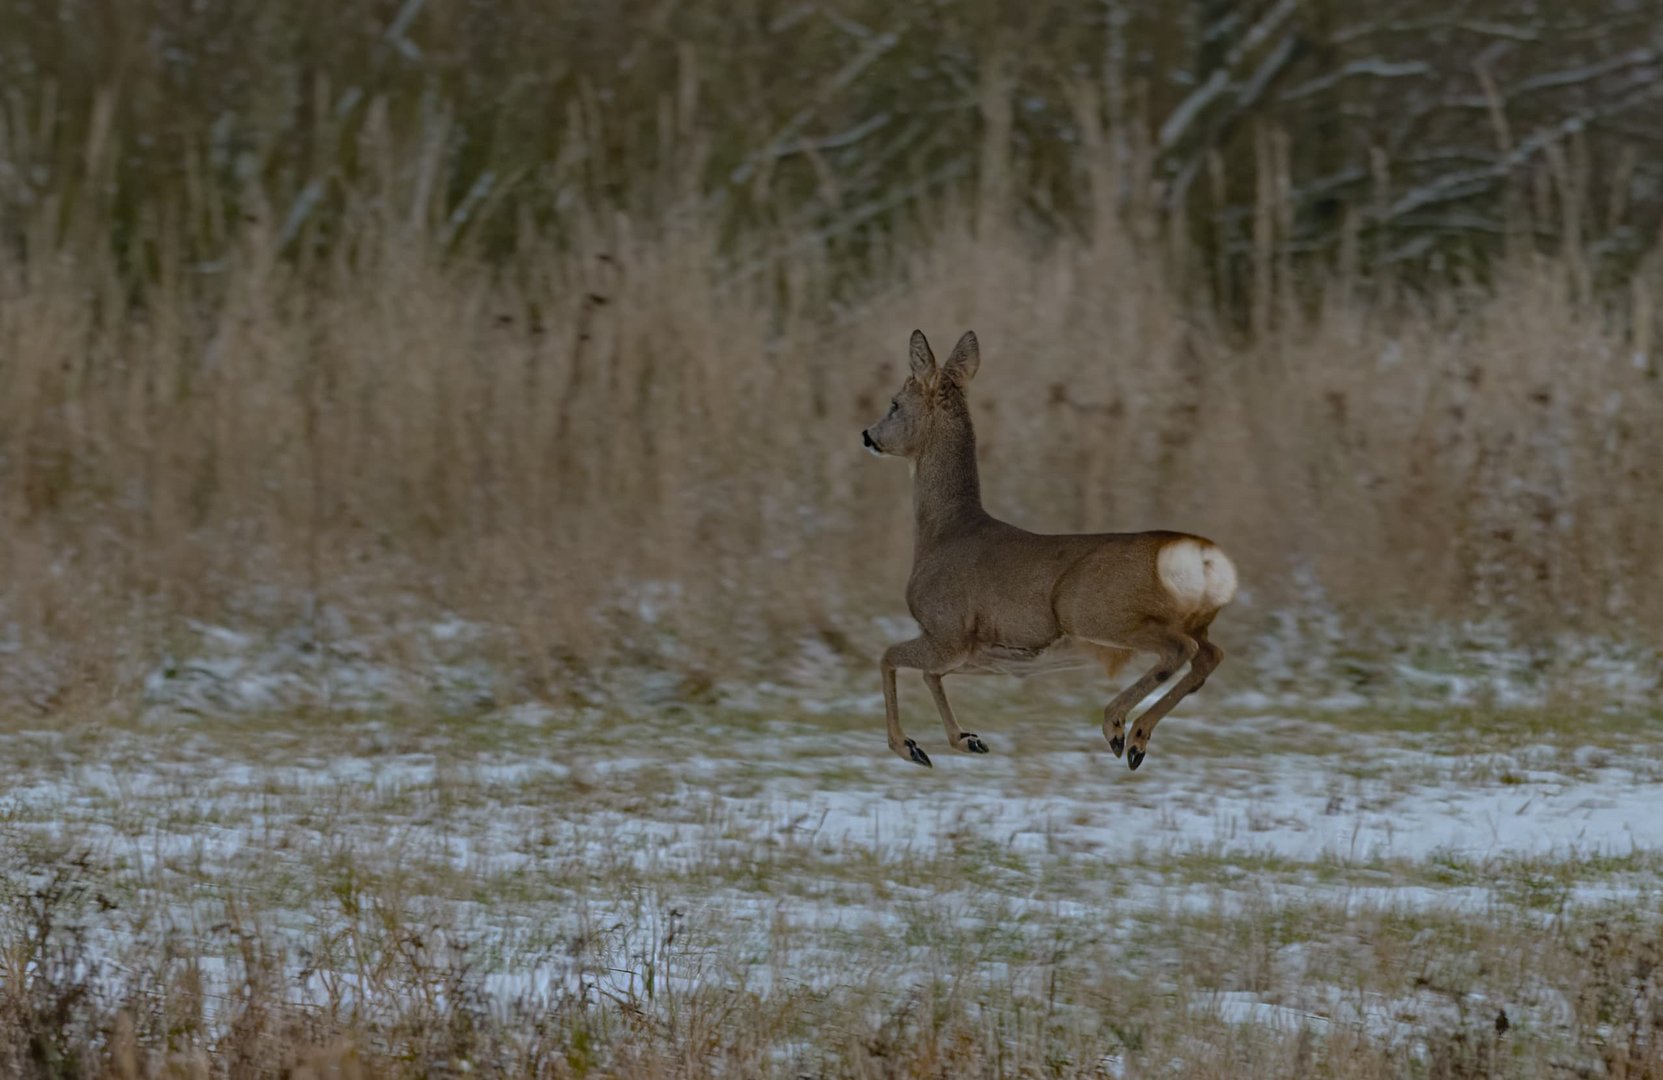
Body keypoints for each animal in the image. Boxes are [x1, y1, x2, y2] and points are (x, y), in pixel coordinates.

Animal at [858, 326, 1237, 765]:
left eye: (895, 403)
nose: (867, 435)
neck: (942, 532)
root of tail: (1204, 556)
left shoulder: (947, 629)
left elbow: (888, 656)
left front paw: (908, 746)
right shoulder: (976, 653)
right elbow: (929, 674)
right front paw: (966, 739)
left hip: (1093, 611)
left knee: (1179, 650)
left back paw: (1117, 725)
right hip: (1187, 620)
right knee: (1208, 655)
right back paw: (1136, 738)